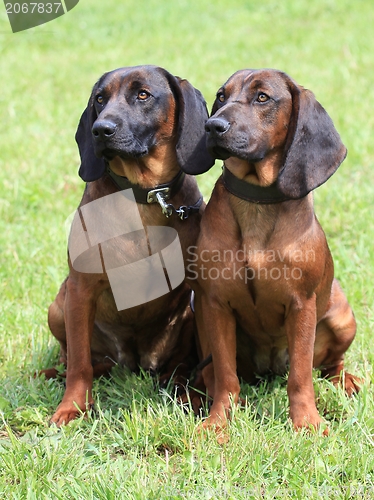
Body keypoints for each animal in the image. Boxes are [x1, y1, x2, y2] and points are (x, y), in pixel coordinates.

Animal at [42, 65, 212, 426]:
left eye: (143, 94)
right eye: (100, 99)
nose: (100, 130)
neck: (145, 196)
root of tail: (132, 362)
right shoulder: (80, 289)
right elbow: (79, 364)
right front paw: (71, 406)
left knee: (177, 362)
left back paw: (176, 383)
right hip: (59, 306)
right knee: (73, 359)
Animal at [190, 68, 362, 432]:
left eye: (262, 97)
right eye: (221, 96)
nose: (213, 126)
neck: (257, 202)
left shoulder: (302, 306)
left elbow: (300, 376)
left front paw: (307, 423)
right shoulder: (215, 304)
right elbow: (225, 376)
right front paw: (219, 423)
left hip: (343, 317)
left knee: (330, 364)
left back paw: (346, 380)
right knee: (211, 370)